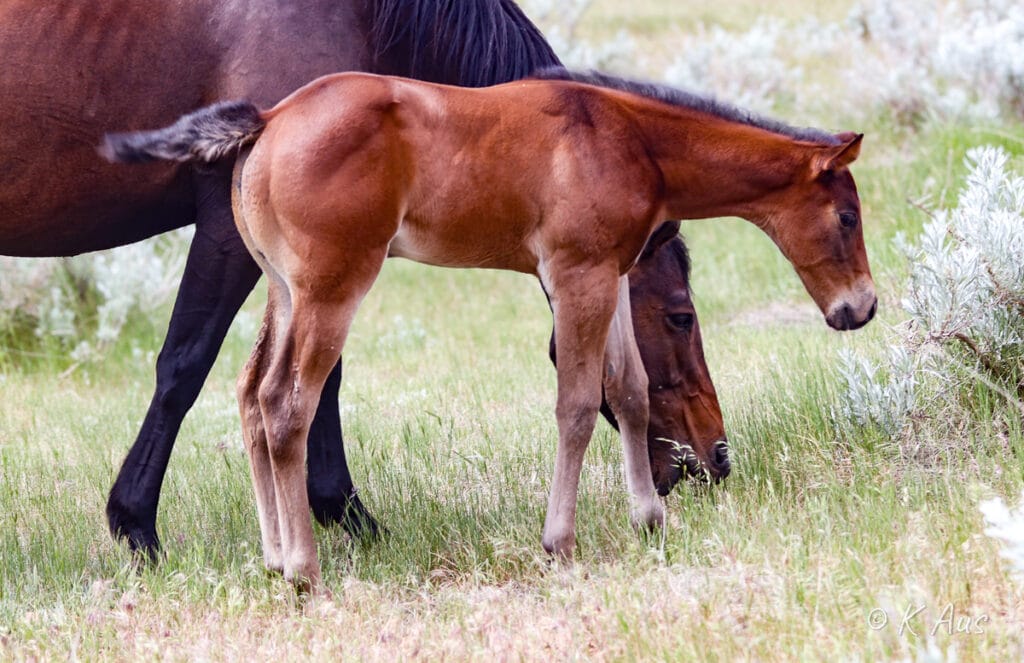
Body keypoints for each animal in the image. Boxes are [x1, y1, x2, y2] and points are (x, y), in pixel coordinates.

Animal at [0, 0, 727, 559]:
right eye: (681, 316)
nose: (716, 458)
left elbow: (318, 379)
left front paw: (340, 513)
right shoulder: (235, 233)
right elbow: (186, 365)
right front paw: (136, 527)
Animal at [103, 68, 875, 591]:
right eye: (847, 217)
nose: (860, 308)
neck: (626, 138)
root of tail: (269, 117)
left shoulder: (611, 274)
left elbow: (627, 391)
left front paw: (651, 521)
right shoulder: (577, 274)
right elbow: (577, 405)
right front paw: (560, 543)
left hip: (284, 288)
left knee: (251, 392)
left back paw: (272, 557)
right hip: (331, 289)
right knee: (285, 404)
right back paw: (303, 569)